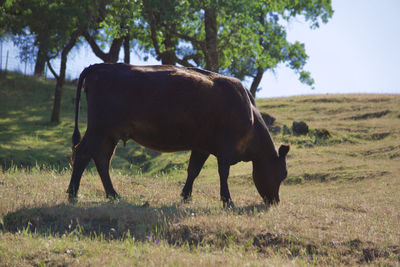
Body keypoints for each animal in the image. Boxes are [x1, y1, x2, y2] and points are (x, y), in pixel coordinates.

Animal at [67, 63, 290, 208]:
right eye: (283, 174)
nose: (276, 202)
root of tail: (101, 66)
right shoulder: (226, 147)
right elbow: (223, 173)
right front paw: (228, 201)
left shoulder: (202, 146)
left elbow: (193, 170)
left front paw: (186, 196)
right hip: (99, 127)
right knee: (83, 153)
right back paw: (73, 194)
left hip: (110, 133)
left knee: (102, 159)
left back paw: (113, 195)